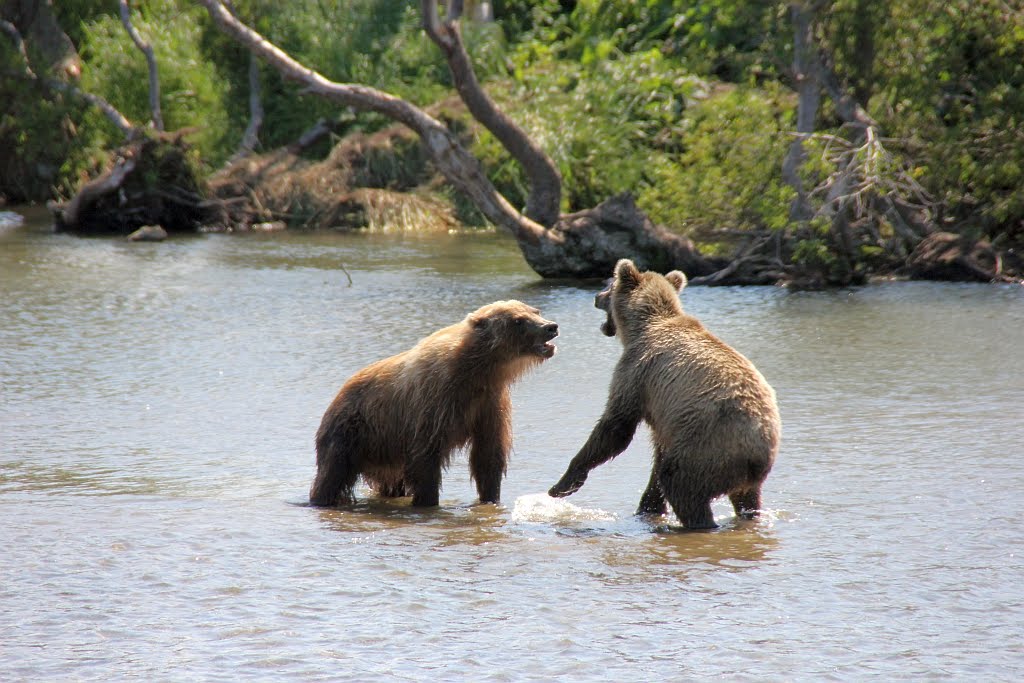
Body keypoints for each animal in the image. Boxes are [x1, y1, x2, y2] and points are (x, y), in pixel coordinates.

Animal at [309, 299, 561, 507]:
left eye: (535, 311)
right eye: (518, 320)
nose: (551, 327)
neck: (477, 371)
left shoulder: (490, 403)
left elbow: (488, 454)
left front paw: (491, 497)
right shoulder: (435, 401)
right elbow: (426, 456)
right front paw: (427, 501)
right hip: (352, 432)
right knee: (332, 475)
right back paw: (321, 499)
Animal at [548, 259, 778, 532]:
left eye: (609, 285)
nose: (596, 297)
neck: (641, 327)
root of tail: (758, 449)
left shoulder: (637, 374)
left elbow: (616, 426)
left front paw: (562, 484)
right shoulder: (667, 416)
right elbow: (656, 455)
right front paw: (648, 507)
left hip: (708, 447)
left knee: (680, 483)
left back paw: (696, 523)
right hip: (740, 469)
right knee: (746, 499)